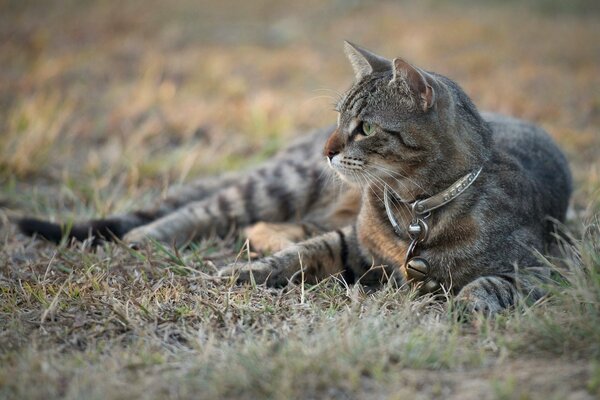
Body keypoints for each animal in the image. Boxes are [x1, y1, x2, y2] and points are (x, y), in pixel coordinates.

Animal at [17, 42, 572, 314]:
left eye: (366, 127)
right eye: (340, 117)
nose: (329, 149)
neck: (414, 207)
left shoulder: (547, 268)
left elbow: (490, 285)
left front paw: (467, 306)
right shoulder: (354, 243)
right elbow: (305, 254)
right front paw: (242, 274)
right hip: (281, 184)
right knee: (205, 209)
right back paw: (145, 237)